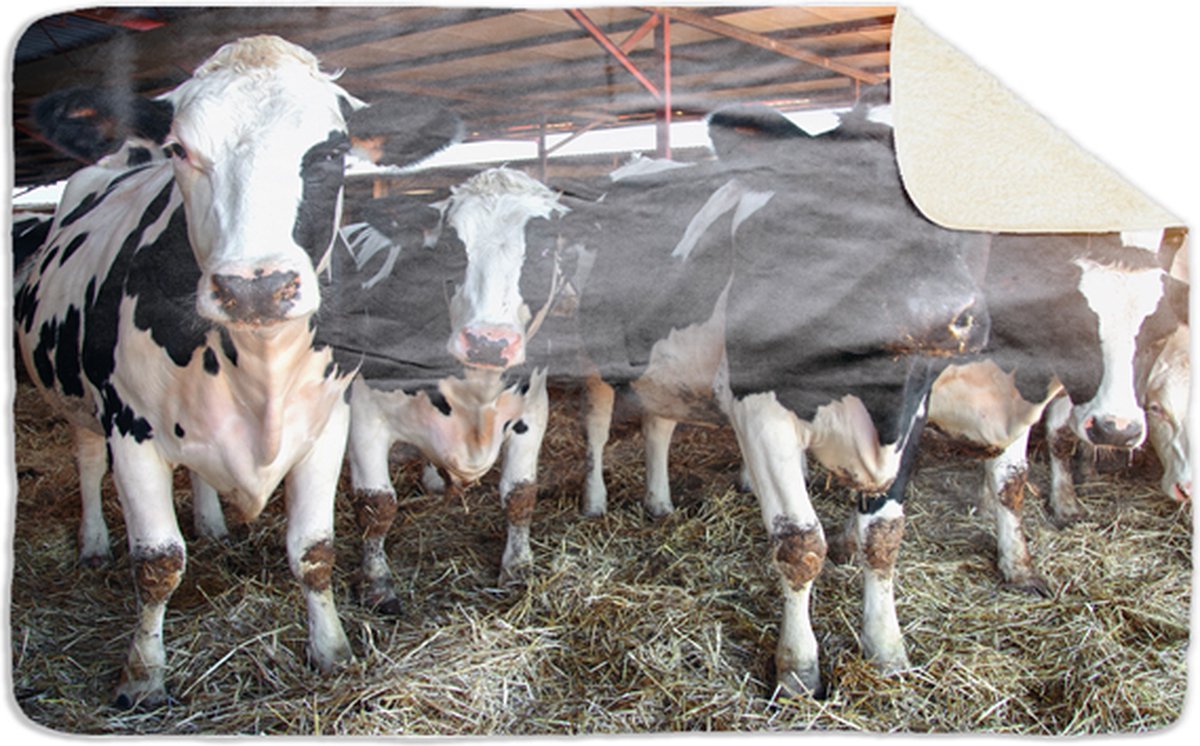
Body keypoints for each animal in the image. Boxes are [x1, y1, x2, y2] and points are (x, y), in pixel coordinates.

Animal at [13, 35, 461, 708]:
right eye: (180, 149)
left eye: (331, 152)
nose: (257, 288)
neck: (260, 363)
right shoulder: (129, 428)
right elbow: (158, 563)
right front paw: (142, 676)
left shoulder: (326, 424)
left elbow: (314, 550)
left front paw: (331, 650)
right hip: (79, 399)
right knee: (88, 462)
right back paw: (93, 544)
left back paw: (213, 523)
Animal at [317, 167, 569, 613]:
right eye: (452, 247)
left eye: (543, 253)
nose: (488, 342)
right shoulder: (365, 415)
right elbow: (376, 504)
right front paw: (377, 582)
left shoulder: (533, 410)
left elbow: (520, 495)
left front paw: (518, 568)